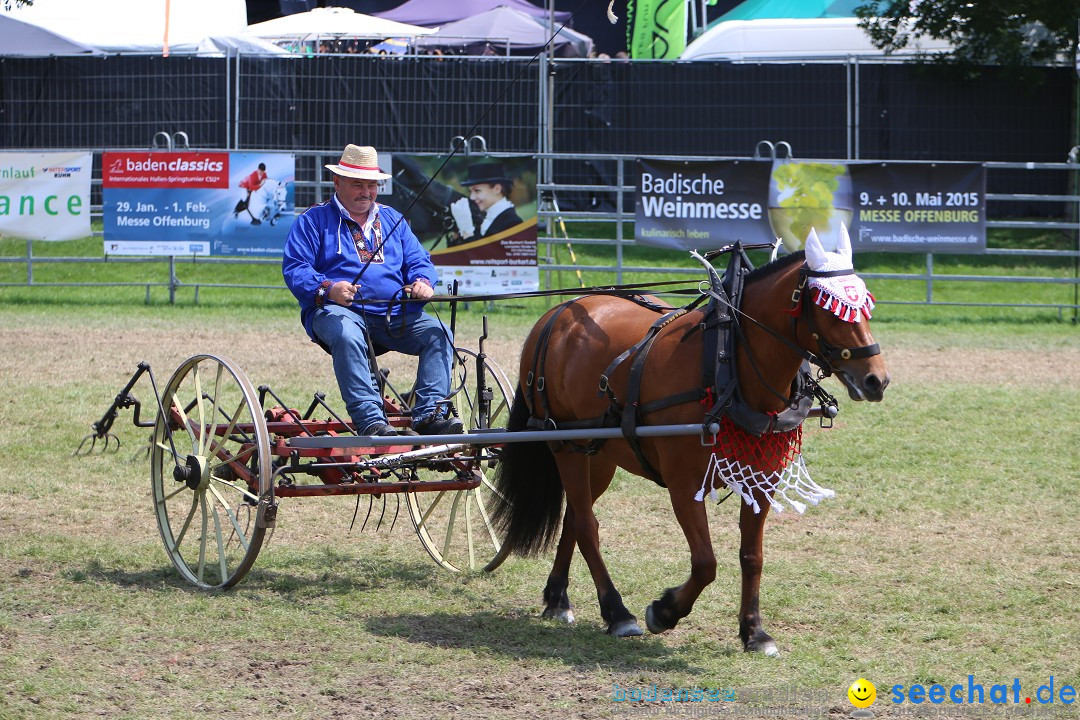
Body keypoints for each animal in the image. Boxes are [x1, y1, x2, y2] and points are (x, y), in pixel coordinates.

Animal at [494, 229, 889, 651]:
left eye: (865, 306)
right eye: (832, 309)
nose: (876, 379)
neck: (726, 364)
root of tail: (558, 312)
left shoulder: (761, 480)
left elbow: (752, 556)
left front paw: (754, 631)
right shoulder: (684, 485)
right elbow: (705, 563)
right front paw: (664, 611)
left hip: (598, 454)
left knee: (574, 517)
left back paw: (558, 598)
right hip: (564, 444)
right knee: (586, 524)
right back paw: (617, 613)